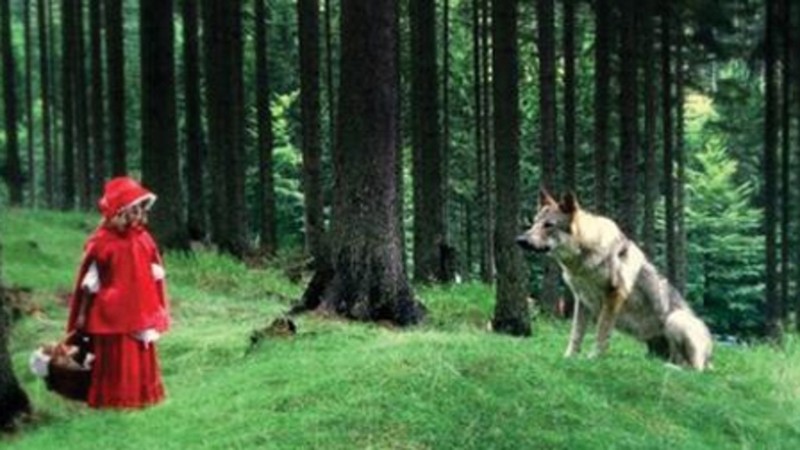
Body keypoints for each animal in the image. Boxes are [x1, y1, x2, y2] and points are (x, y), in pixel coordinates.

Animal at [516, 189, 712, 370]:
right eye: (534, 223)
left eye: (549, 225)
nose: (520, 240)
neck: (583, 259)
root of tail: (710, 354)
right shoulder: (582, 300)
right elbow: (576, 334)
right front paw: (569, 358)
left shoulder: (613, 295)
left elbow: (602, 332)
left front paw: (594, 358)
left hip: (675, 319)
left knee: (695, 369)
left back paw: (671, 368)